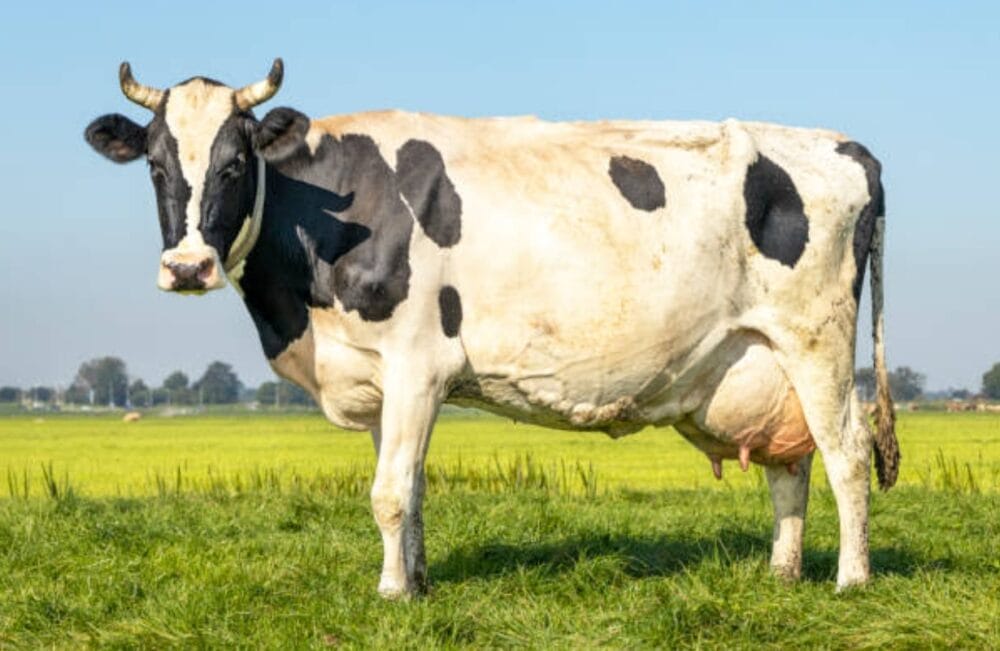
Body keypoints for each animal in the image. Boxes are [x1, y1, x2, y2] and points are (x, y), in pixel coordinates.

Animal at [84, 59, 899, 596]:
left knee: (847, 453)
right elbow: (409, 487)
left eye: (234, 162)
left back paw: (851, 580)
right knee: (791, 464)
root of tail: (845, 145)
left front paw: (390, 593)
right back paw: (782, 572)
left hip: (818, 340)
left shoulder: (417, 362)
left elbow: (388, 490)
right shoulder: (380, 374)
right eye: (156, 165)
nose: (187, 266)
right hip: (763, 359)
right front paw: (416, 582)